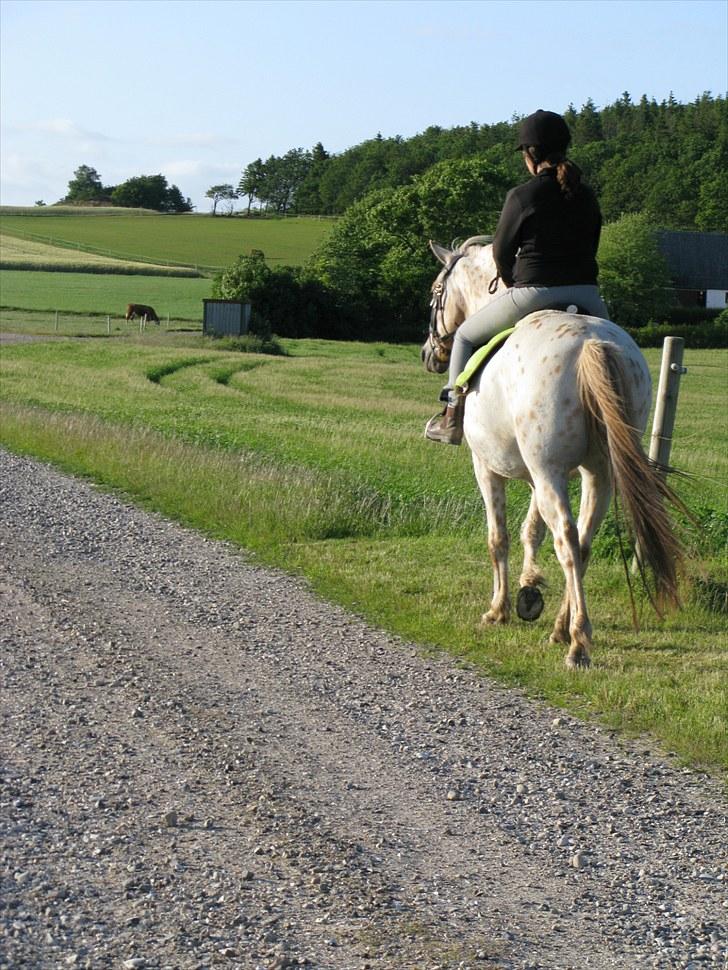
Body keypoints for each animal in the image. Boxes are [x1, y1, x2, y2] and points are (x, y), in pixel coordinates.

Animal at [420, 238, 684, 668]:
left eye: (436, 292)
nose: (429, 354)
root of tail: (592, 343)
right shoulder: (537, 476)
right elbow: (532, 530)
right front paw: (530, 590)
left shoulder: (489, 469)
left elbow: (499, 537)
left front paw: (499, 609)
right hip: (595, 474)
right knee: (583, 541)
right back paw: (562, 628)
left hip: (550, 474)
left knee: (567, 540)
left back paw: (578, 642)